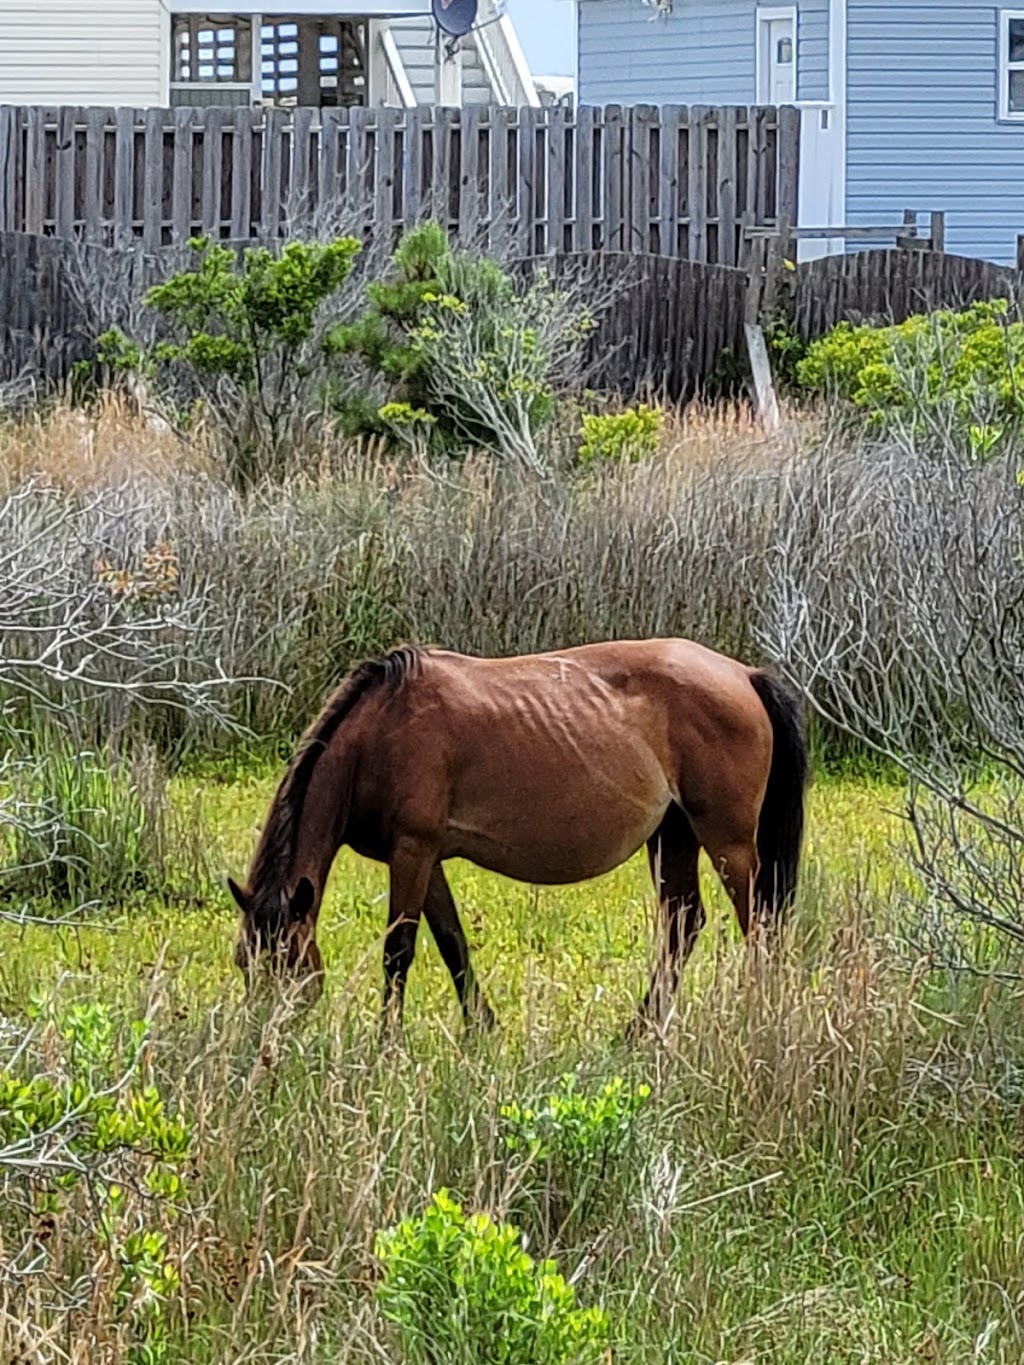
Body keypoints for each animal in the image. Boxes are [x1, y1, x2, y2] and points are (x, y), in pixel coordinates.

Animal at [230, 638, 808, 1031]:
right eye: (244, 962)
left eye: (287, 962)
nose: (262, 1040)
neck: (379, 735)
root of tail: (744, 675)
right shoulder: (427, 856)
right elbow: (452, 943)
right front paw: (481, 1030)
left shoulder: (412, 850)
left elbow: (399, 950)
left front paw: (386, 1046)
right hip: (674, 836)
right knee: (683, 923)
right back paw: (638, 1032)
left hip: (726, 840)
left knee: (759, 923)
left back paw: (755, 1021)